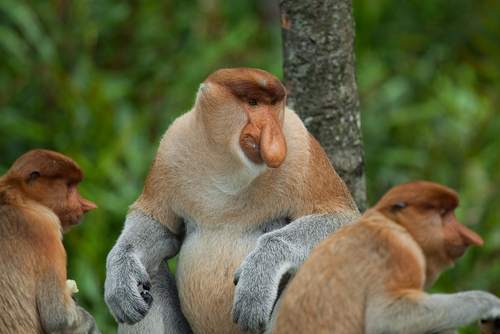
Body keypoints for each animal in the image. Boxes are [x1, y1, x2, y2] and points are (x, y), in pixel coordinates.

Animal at [104, 66, 360, 332]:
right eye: (253, 102)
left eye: (273, 104)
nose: (273, 137)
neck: (230, 167)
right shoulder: (172, 146)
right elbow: (159, 224)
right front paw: (120, 276)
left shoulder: (301, 146)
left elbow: (344, 220)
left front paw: (259, 275)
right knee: (150, 273)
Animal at [274, 180, 500, 334]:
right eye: (444, 213)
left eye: (451, 212)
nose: (469, 236)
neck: (390, 222)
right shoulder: (399, 252)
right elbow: (387, 320)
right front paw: (489, 304)